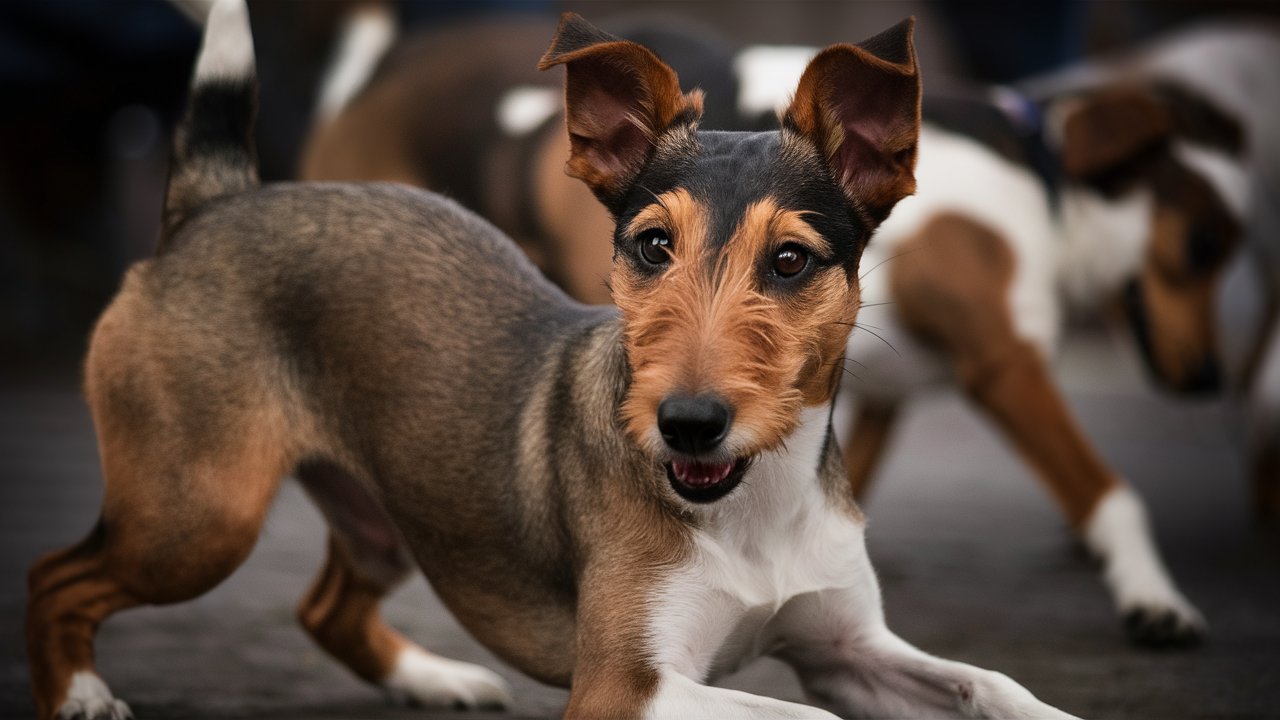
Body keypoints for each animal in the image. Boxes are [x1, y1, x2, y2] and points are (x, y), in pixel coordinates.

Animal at [22, 2, 1080, 712]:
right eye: (651, 246)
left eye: (791, 261)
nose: (686, 424)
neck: (749, 506)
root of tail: (218, 201)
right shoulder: (627, 688)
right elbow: (798, 718)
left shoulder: (848, 650)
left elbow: (994, 686)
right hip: (196, 518)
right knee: (54, 577)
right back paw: (78, 694)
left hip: (382, 513)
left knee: (325, 608)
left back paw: (433, 678)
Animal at [299, 11, 1269, 648]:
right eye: (1203, 242)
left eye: (795, 262)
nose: (1207, 381)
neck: (1042, 175)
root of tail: (385, 66)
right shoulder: (1004, 363)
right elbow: (1111, 490)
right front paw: (1154, 598)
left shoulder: (847, 389)